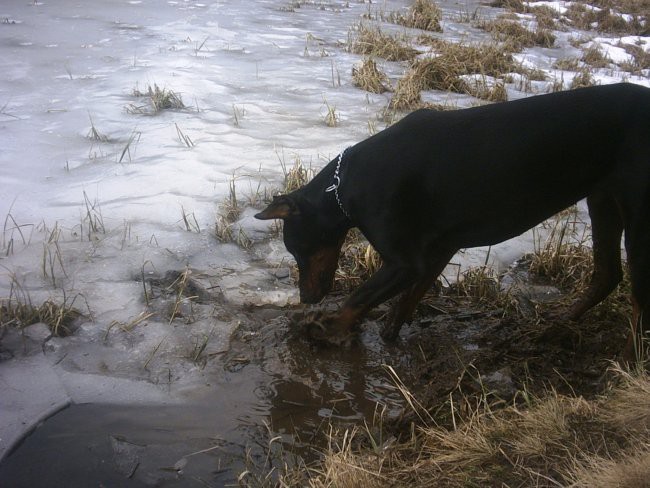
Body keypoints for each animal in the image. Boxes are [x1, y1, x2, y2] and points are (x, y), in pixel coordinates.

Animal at [254, 82, 648, 360]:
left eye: (297, 250)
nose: (306, 298)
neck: (344, 184)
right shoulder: (440, 247)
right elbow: (405, 303)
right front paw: (386, 339)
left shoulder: (404, 262)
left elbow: (358, 297)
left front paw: (326, 329)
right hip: (603, 200)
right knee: (607, 274)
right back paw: (557, 326)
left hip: (638, 212)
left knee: (639, 296)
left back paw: (627, 363)